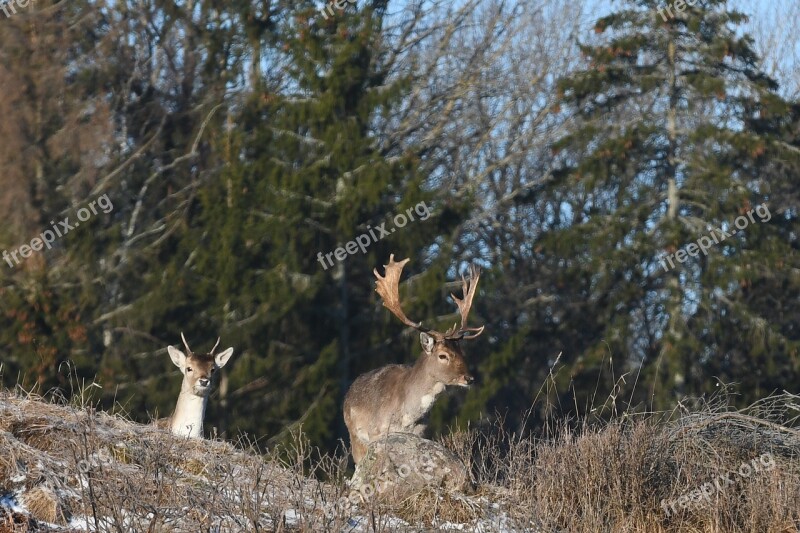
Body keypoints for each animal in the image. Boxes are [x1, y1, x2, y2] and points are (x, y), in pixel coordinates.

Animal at [342, 254, 484, 462]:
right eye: (443, 355)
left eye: (462, 352)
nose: (469, 378)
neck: (407, 417)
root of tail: (348, 394)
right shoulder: (377, 433)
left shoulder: (421, 435)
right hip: (354, 435)